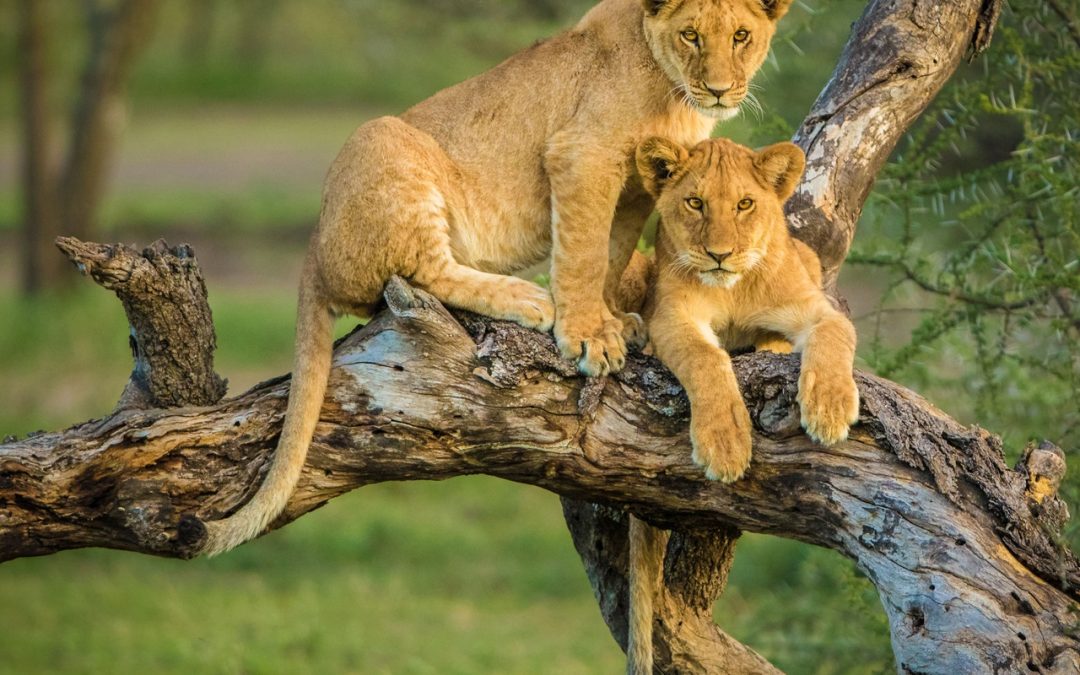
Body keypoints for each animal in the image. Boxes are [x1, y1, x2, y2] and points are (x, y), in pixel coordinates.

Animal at [196, 0, 795, 557]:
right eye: (690, 34)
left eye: (741, 36)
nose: (719, 90)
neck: (671, 88)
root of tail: (313, 250)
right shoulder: (583, 155)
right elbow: (581, 250)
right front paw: (586, 335)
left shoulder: (638, 189)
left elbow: (610, 253)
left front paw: (610, 320)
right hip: (384, 140)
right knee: (425, 268)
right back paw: (528, 299)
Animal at [625, 136, 859, 673]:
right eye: (695, 203)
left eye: (745, 204)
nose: (719, 255)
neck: (731, 291)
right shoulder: (672, 317)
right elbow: (707, 359)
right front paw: (726, 445)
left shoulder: (814, 305)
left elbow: (834, 334)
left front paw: (830, 407)